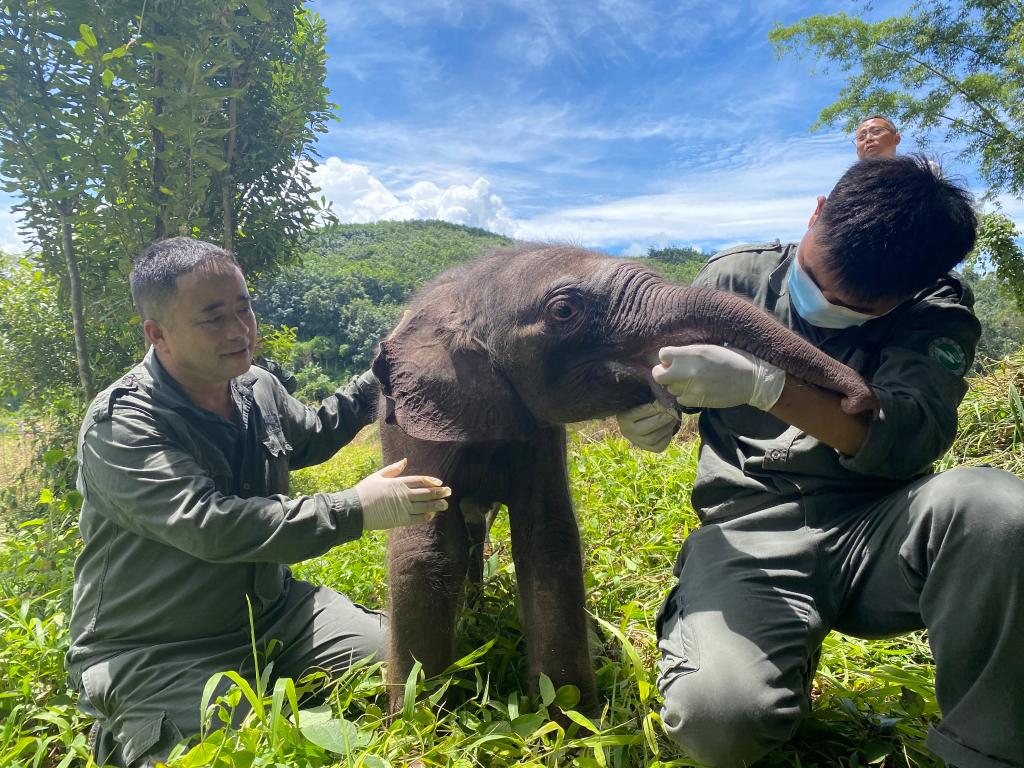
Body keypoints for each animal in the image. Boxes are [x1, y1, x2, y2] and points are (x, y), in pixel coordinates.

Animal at [372, 244, 868, 716]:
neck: (467, 291)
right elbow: (425, 545)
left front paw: (569, 718)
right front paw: (420, 717)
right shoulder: (414, 426)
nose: (862, 402)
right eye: (564, 311)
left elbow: (548, 537)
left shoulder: (538, 432)